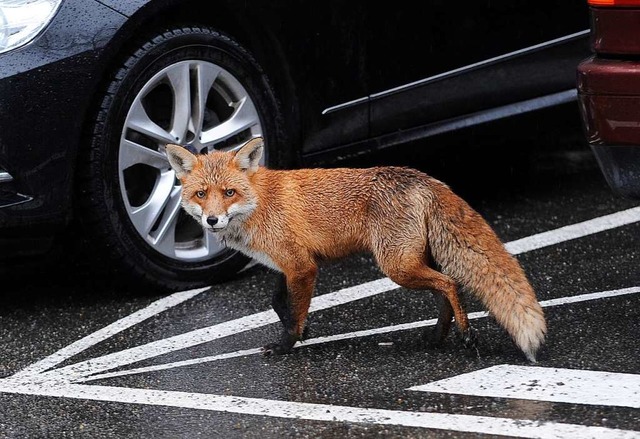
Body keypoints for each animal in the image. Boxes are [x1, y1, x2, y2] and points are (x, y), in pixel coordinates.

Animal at [165, 138, 544, 364]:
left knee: (450, 283)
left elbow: (292, 312)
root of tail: (424, 178)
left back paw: (466, 336)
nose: (212, 220)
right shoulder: (288, 265)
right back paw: (437, 336)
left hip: (397, 266)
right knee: (445, 288)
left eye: (229, 193)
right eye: (201, 194)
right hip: (412, 262)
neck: (258, 203)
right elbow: (278, 303)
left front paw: (287, 344)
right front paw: (301, 330)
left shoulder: (302, 267)